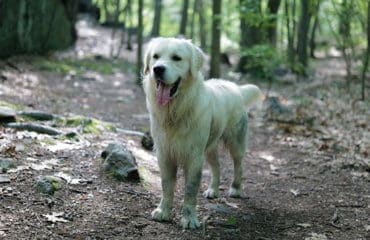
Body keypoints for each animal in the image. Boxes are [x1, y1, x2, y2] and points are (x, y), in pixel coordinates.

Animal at [142, 37, 264, 229]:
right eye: (155, 56)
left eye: (176, 58)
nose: (158, 69)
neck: (176, 111)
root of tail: (235, 88)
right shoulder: (164, 153)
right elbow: (166, 186)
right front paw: (163, 211)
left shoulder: (194, 156)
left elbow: (190, 190)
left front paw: (189, 219)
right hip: (209, 148)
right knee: (217, 167)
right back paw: (213, 190)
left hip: (235, 143)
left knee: (239, 165)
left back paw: (236, 188)